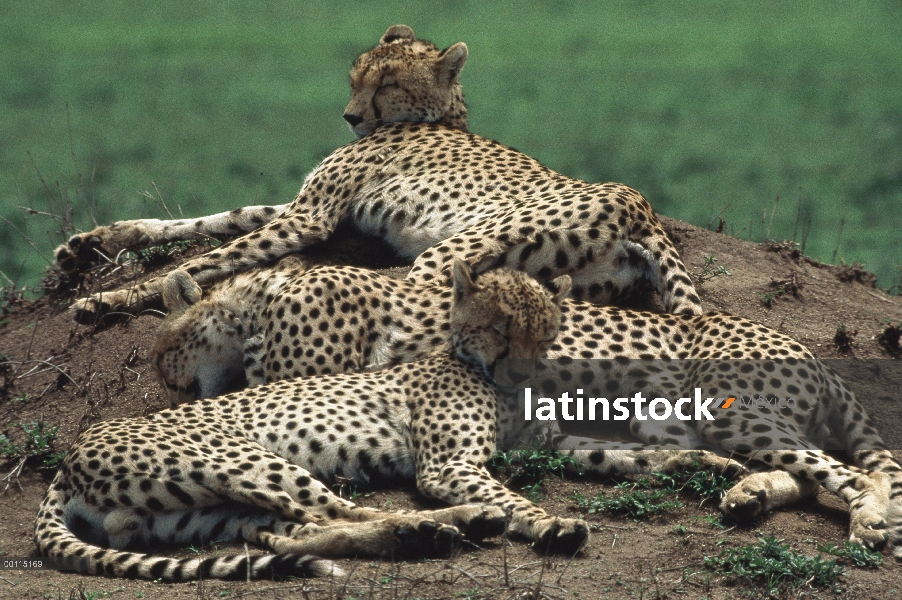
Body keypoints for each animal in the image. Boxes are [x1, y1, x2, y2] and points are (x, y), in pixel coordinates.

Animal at [37, 264, 748, 580]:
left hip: (203, 511)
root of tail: (67, 461)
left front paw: (710, 464)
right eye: (500, 328)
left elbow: (624, 455)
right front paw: (550, 524)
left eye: (543, 331)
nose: (522, 368)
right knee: (340, 509)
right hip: (244, 462)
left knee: (301, 530)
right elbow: (512, 496)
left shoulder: (546, 443)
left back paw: (412, 538)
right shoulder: (451, 463)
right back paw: (447, 525)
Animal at [60, 23, 704, 322]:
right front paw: (95, 242)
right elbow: (220, 219)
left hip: (451, 251)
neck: (442, 115)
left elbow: (215, 253)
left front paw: (113, 296)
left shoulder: (311, 217)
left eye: (387, 84)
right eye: (356, 77)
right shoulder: (311, 209)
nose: (349, 116)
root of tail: (640, 204)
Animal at [154, 262, 902, 552]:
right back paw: (748, 493)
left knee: (842, 471)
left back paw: (868, 519)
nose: (166, 375)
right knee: (801, 472)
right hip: (694, 421)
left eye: (173, 345)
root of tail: (812, 354)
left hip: (733, 409)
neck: (261, 300)